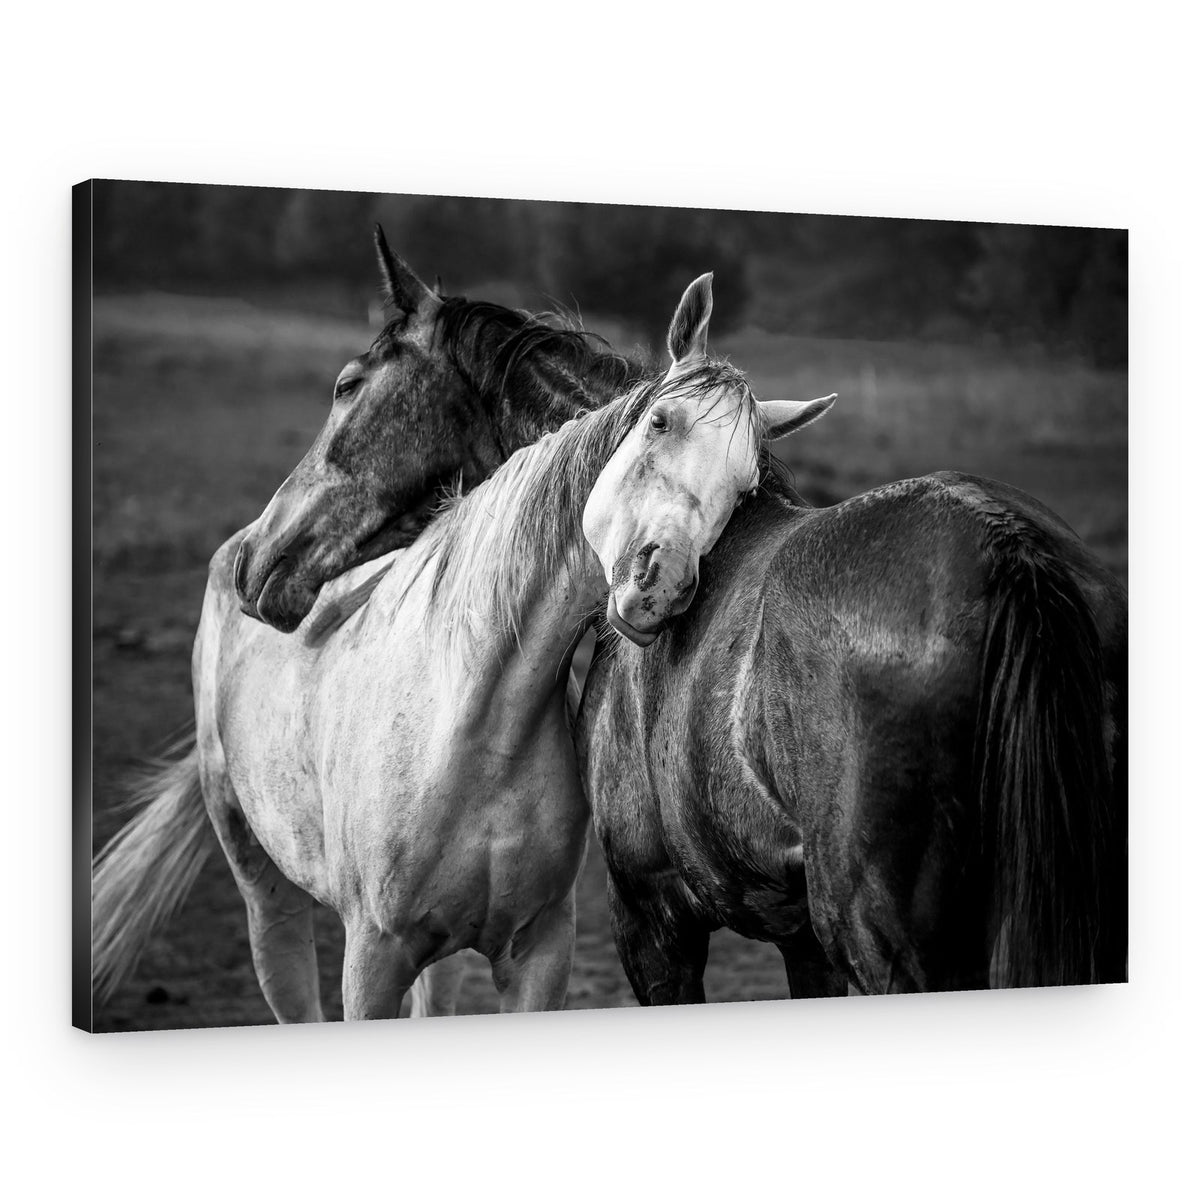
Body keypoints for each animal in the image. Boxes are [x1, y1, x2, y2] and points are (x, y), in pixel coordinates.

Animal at [90, 274, 653, 1020]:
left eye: (346, 385)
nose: (253, 561)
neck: (480, 713)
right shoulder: (371, 954)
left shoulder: (539, 948)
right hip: (266, 894)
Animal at [580, 273, 1127, 996]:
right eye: (659, 421)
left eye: (743, 482)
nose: (660, 583)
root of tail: (1006, 544)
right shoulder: (801, 940)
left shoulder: (651, 920)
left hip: (876, 930)